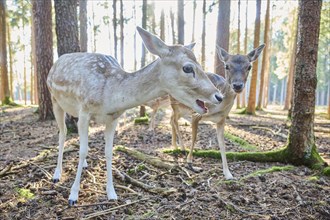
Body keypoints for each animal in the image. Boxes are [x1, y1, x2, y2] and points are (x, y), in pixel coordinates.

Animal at [46, 26, 223, 205]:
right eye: (187, 68)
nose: (219, 96)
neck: (109, 96)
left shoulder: (113, 118)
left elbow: (108, 152)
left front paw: (112, 193)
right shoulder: (85, 110)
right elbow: (83, 150)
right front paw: (73, 195)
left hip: (73, 110)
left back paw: (84, 165)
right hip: (55, 100)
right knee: (63, 133)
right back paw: (57, 174)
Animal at [170, 44, 266, 179]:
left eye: (249, 66)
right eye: (227, 66)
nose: (237, 85)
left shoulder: (222, 119)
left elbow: (222, 144)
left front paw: (228, 174)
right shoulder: (196, 114)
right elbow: (194, 137)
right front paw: (190, 163)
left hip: (182, 110)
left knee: (171, 119)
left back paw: (175, 145)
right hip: (176, 104)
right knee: (173, 120)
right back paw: (182, 147)